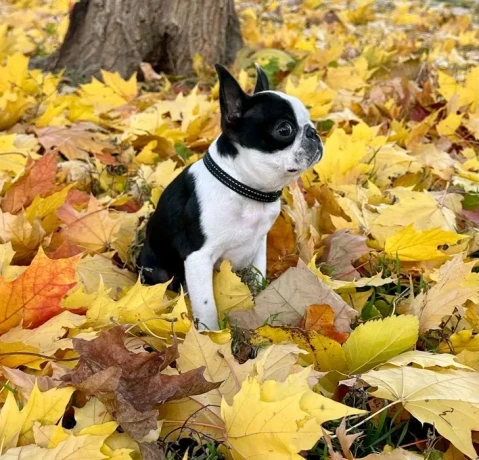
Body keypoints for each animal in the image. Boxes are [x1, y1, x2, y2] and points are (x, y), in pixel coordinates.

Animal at [137, 65, 324, 330]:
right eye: (284, 129)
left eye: (309, 122)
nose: (313, 132)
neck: (244, 189)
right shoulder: (198, 258)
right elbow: (206, 307)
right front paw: (210, 335)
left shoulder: (259, 244)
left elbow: (258, 277)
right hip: (157, 269)